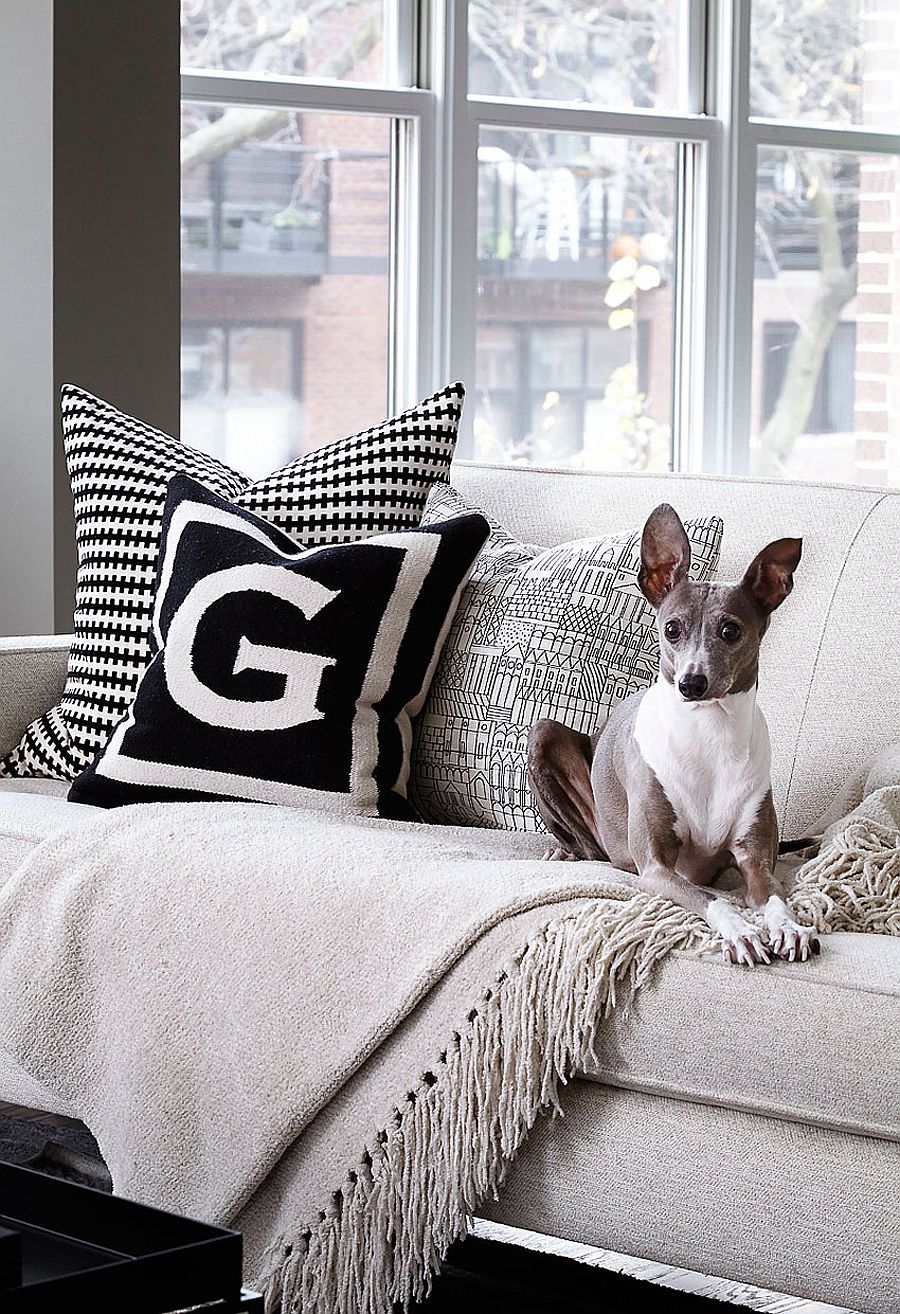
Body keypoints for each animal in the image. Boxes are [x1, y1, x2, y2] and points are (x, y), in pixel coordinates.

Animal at [530, 507, 819, 972]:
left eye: (730, 631)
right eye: (672, 629)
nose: (691, 683)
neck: (709, 734)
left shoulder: (756, 861)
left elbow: (774, 896)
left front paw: (789, 926)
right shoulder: (656, 869)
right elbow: (711, 899)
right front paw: (742, 932)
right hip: (544, 735)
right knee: (590, 846)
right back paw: (564, 852)